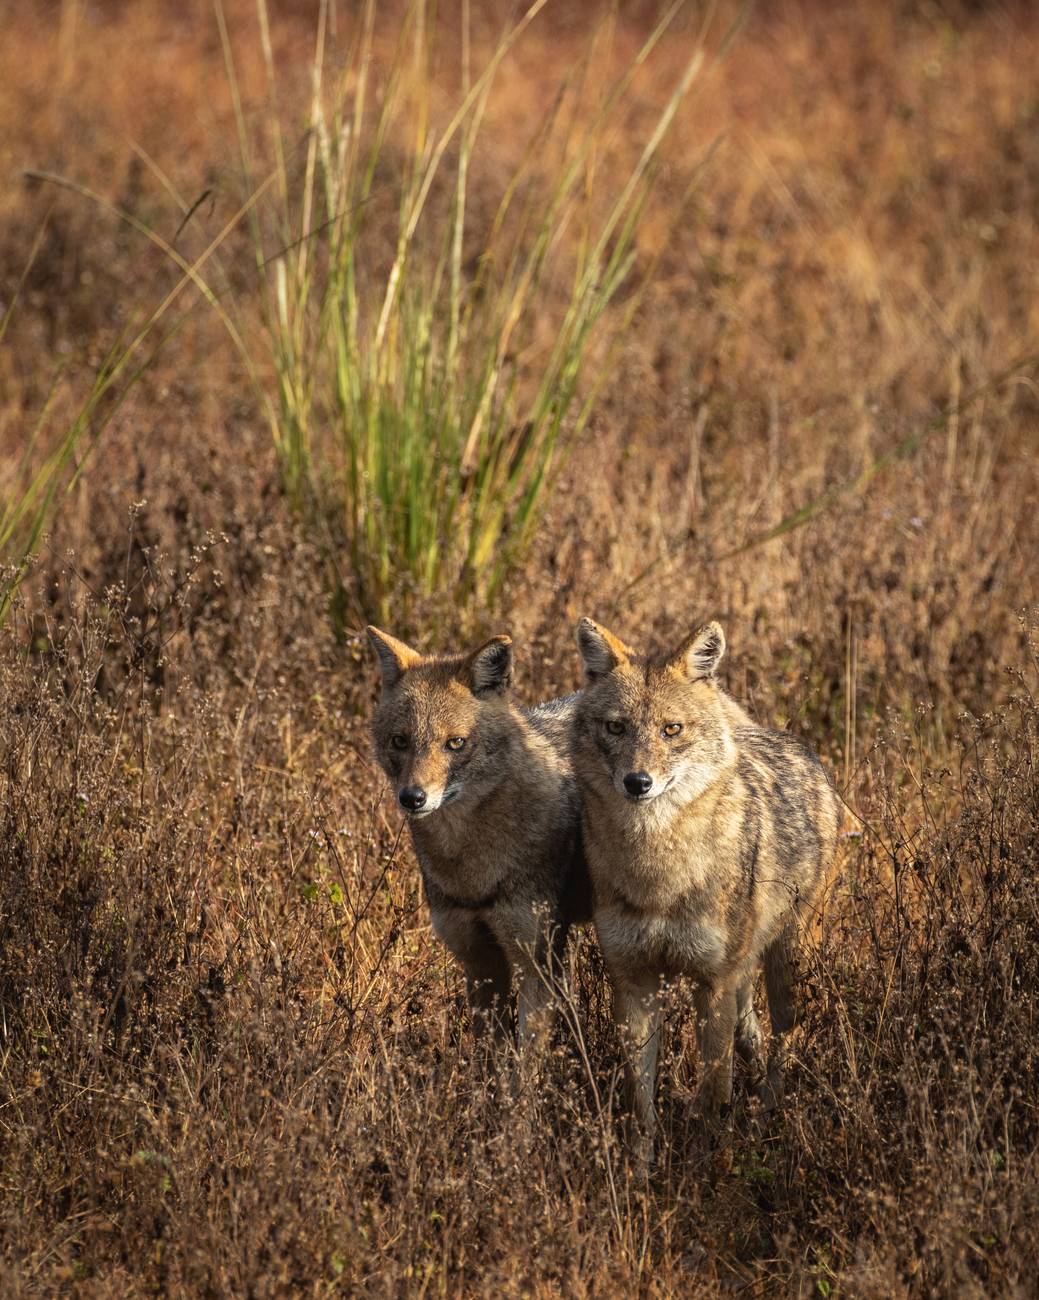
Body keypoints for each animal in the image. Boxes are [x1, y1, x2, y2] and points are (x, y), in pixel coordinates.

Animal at [366, 627, 590, 1053]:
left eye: (455, 743)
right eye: (400, 741)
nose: (413, 798)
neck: (471, 871)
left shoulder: (536, 965)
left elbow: (526, 1061)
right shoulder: (479, 963)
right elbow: (489, 1056)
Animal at [571, 616, 841, 1158]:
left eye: (671, 729)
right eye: (616, 727)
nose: (638, 782)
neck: (657, 876)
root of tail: (798, 747)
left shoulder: (712, 984)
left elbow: (714, 1093)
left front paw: (707, 1164)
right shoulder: (633, 984)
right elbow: (640, 1104)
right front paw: (640, 1168)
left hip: (786, 968)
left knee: (786, 1039)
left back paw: (765, 1116)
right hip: (743, 980)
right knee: (752, 1035)